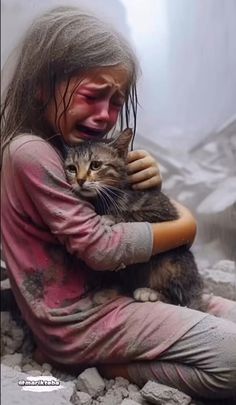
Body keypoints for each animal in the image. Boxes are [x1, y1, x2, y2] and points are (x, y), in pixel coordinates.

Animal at [63, 129, 204, 310]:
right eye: (71, 168)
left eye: (95, 165)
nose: (80, 180)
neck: (105, 198)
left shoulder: (164, 211)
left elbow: (135, 213)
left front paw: (111, 216)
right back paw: (108, 291)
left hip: (175, 262)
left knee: (179, 297)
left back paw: (151, 292)